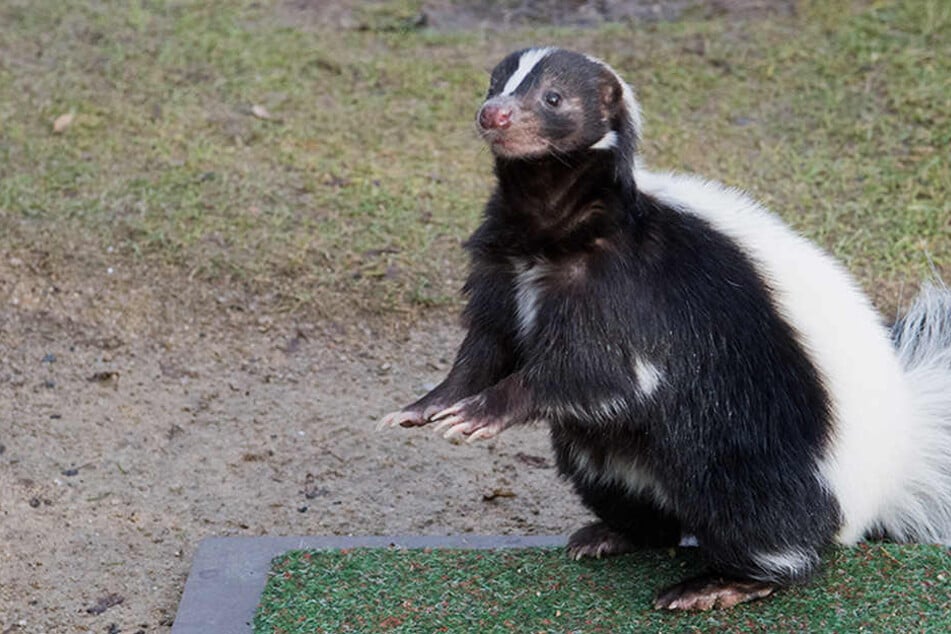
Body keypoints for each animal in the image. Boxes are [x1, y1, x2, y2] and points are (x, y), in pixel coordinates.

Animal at [380, 47, 951, 608]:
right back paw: (614, 534)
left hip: (767, 444)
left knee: (762, 517)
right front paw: (427, 406)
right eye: (494, 85)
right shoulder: (503, 269)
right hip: (614, 458)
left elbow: (598, 369)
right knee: (626, 488)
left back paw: (724, 583)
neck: (549, 227)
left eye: (553, 98)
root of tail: (897, 458)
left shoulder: (631, 294)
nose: (493, 114)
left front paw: (482, 411)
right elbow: (486, 348)